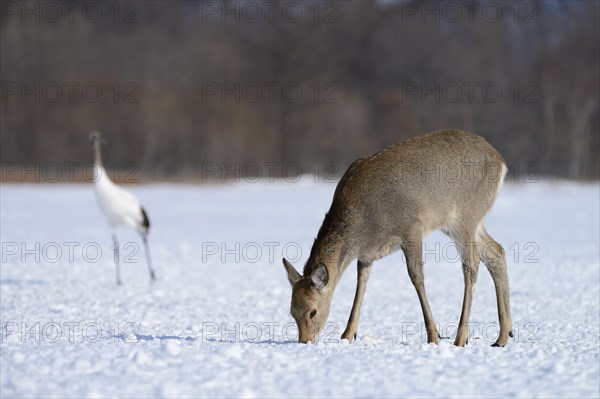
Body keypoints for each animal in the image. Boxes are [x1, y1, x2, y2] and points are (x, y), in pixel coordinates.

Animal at [284, 130, 512, 346]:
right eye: (292, 312)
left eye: (312, 311)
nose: (304, 341)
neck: (363, 227)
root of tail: (501, 161)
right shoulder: (367, 254)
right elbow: (362, 282)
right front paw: (348, 335)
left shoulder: (411, 228)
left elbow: (416, 277)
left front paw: (434, 336)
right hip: (460, 223)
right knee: (497, 252)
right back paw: (503, 336)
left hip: (465, 215)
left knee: (471, 266)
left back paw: (461, 338)